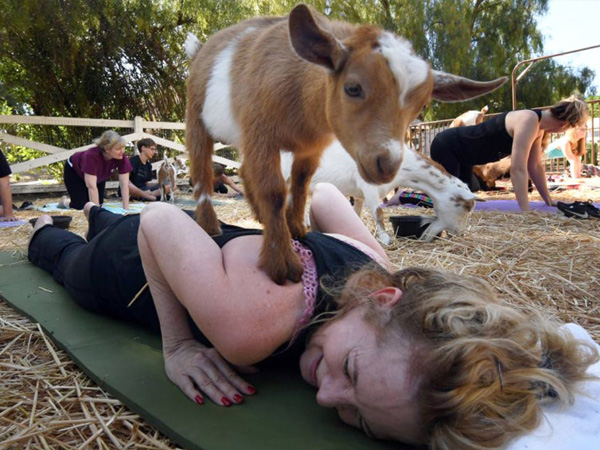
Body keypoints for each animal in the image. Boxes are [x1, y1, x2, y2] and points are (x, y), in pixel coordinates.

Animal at [183, 3, 506, 284]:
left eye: (422, 104)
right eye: (352, 88)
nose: (385, 165)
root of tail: (202, 49)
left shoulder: (313, 152)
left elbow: (310, 189)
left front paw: (302, 230)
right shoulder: (261, 134)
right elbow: (280, 195)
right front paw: (282, 264)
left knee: (252, 177)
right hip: (198, 119)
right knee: (203, 170)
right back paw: (210, 225)